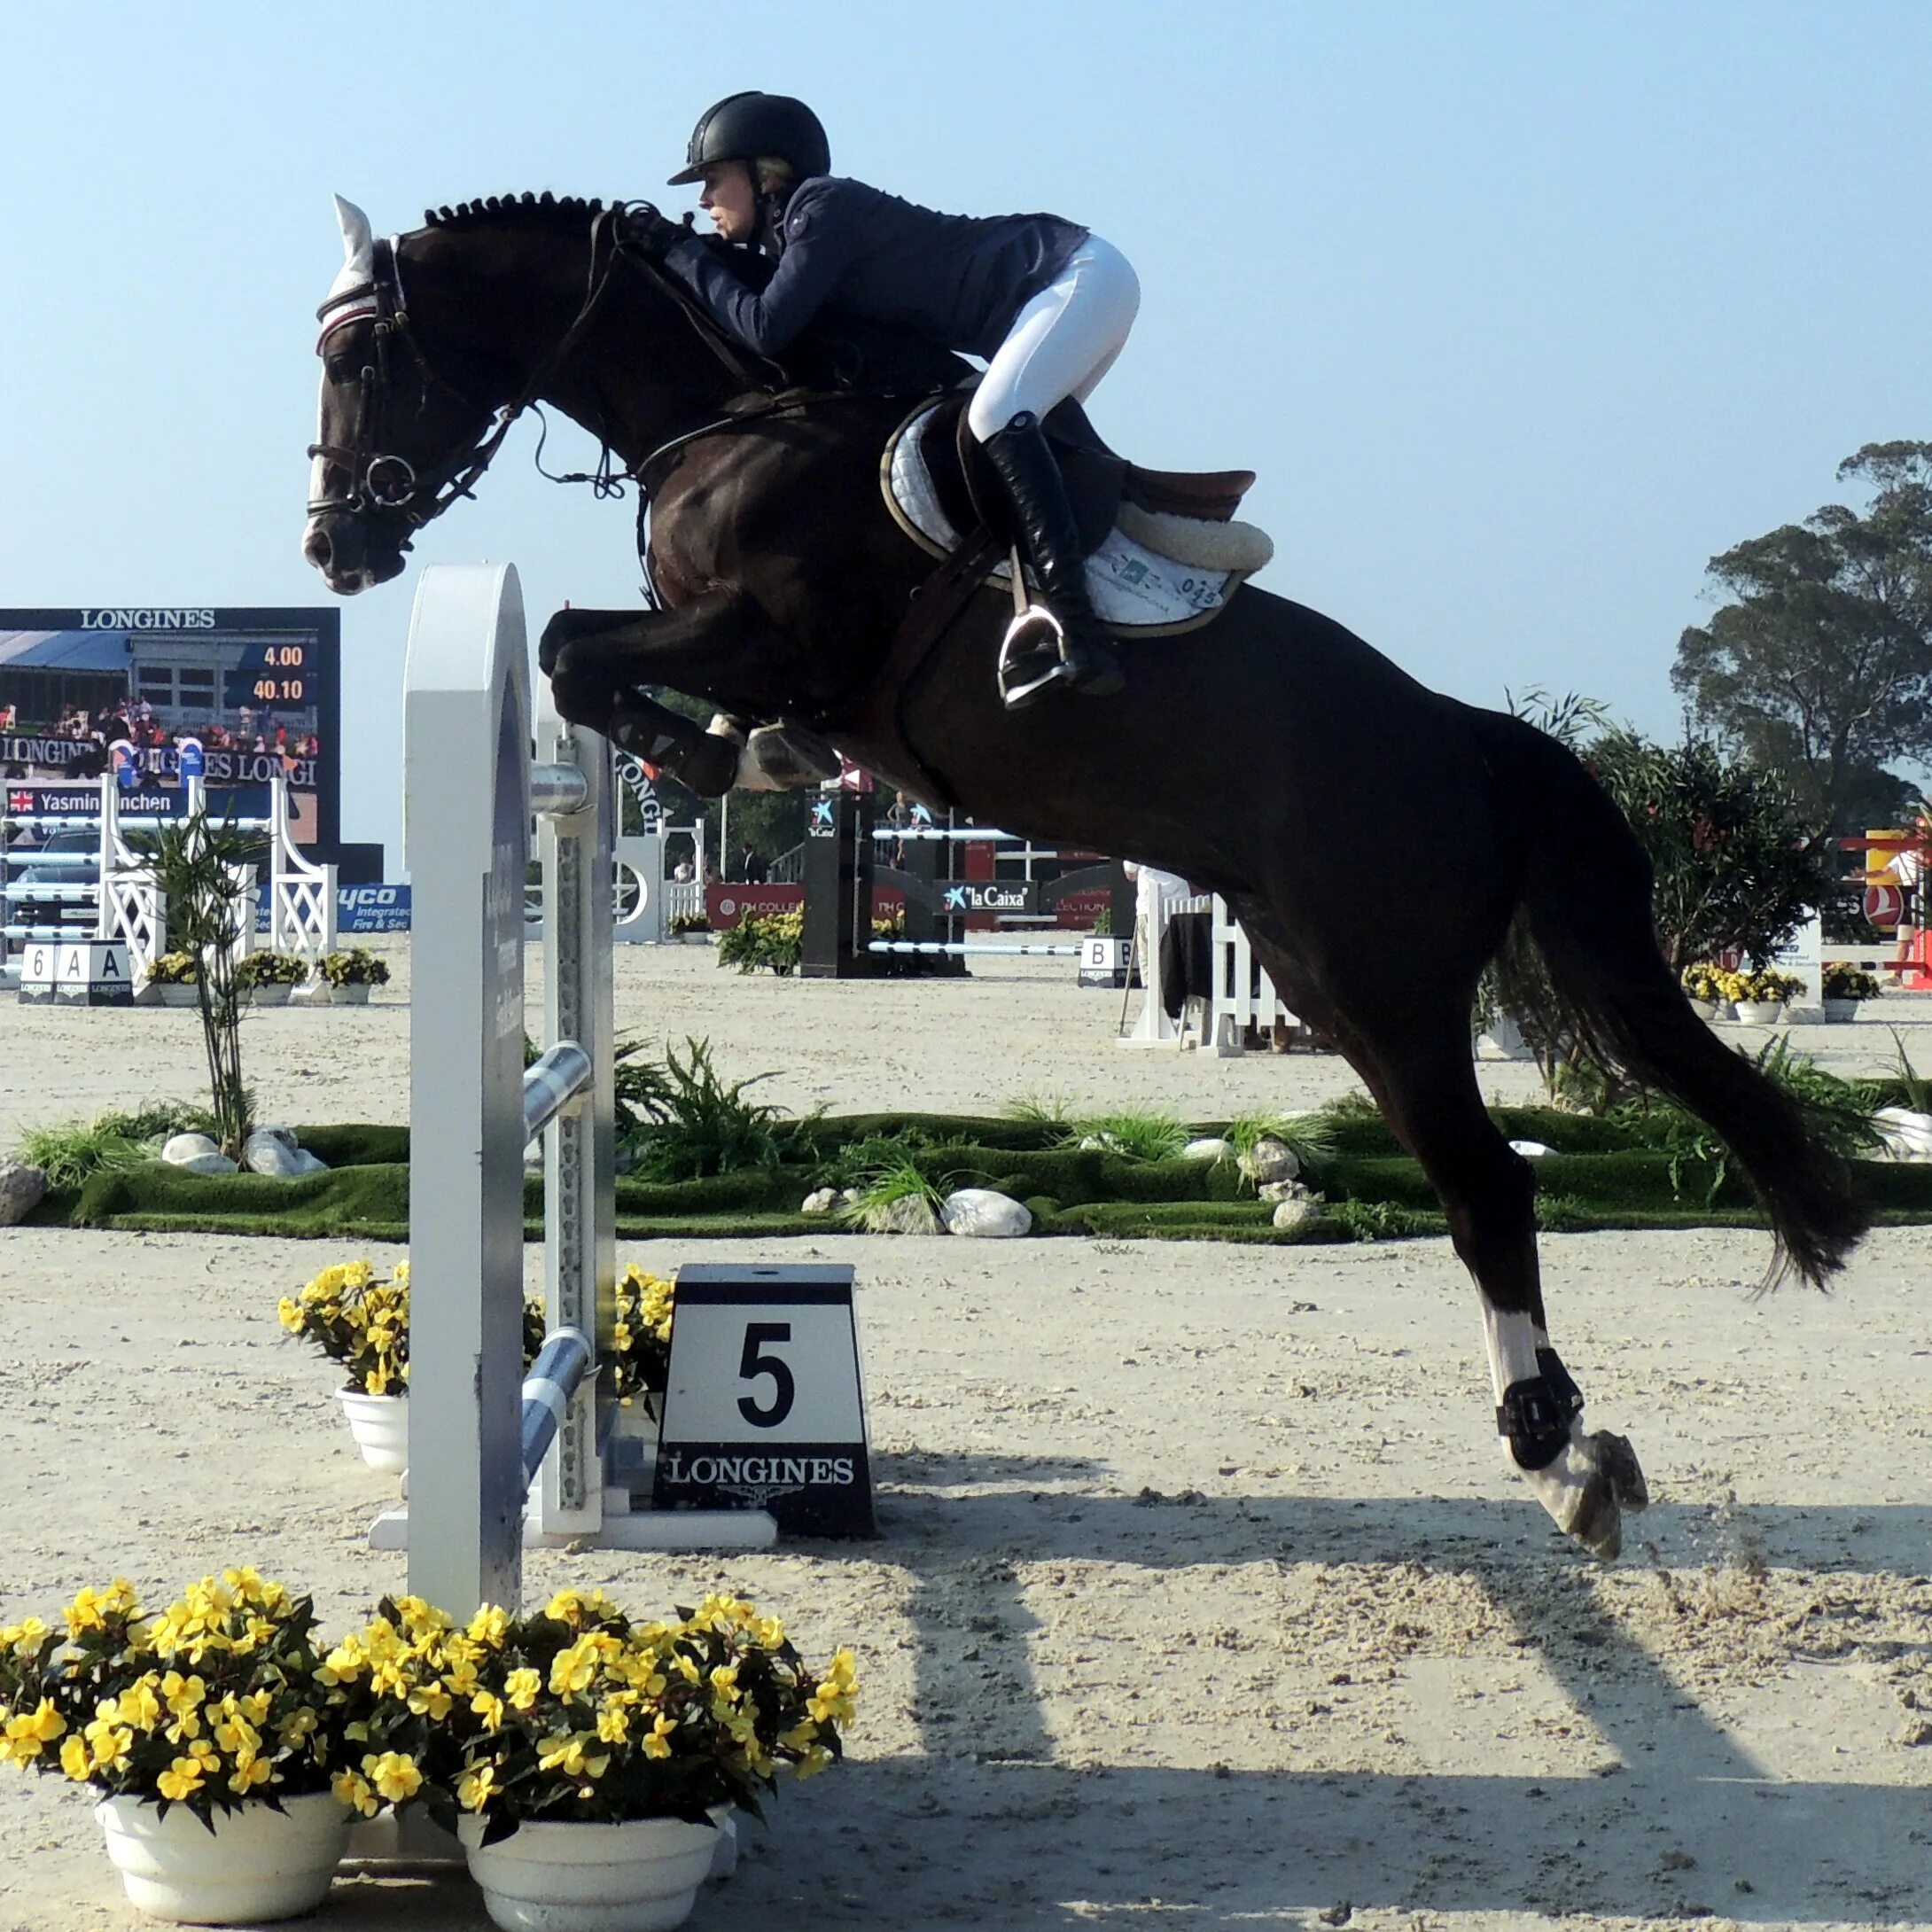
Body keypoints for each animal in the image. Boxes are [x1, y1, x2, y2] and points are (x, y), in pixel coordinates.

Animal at [305, 188, 1870, 1561]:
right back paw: (1574, 1446)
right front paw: (741, 756)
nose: (337, 546)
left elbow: (575, 643)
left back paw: (1556, 1455)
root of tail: (1468, 741)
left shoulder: (776, 634)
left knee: (1487, 1188)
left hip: (1382, 987)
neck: (732, 416)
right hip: (1332, 981)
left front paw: (711, 756)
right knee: (1479, 1182)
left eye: (361, 357)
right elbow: (589, 647)